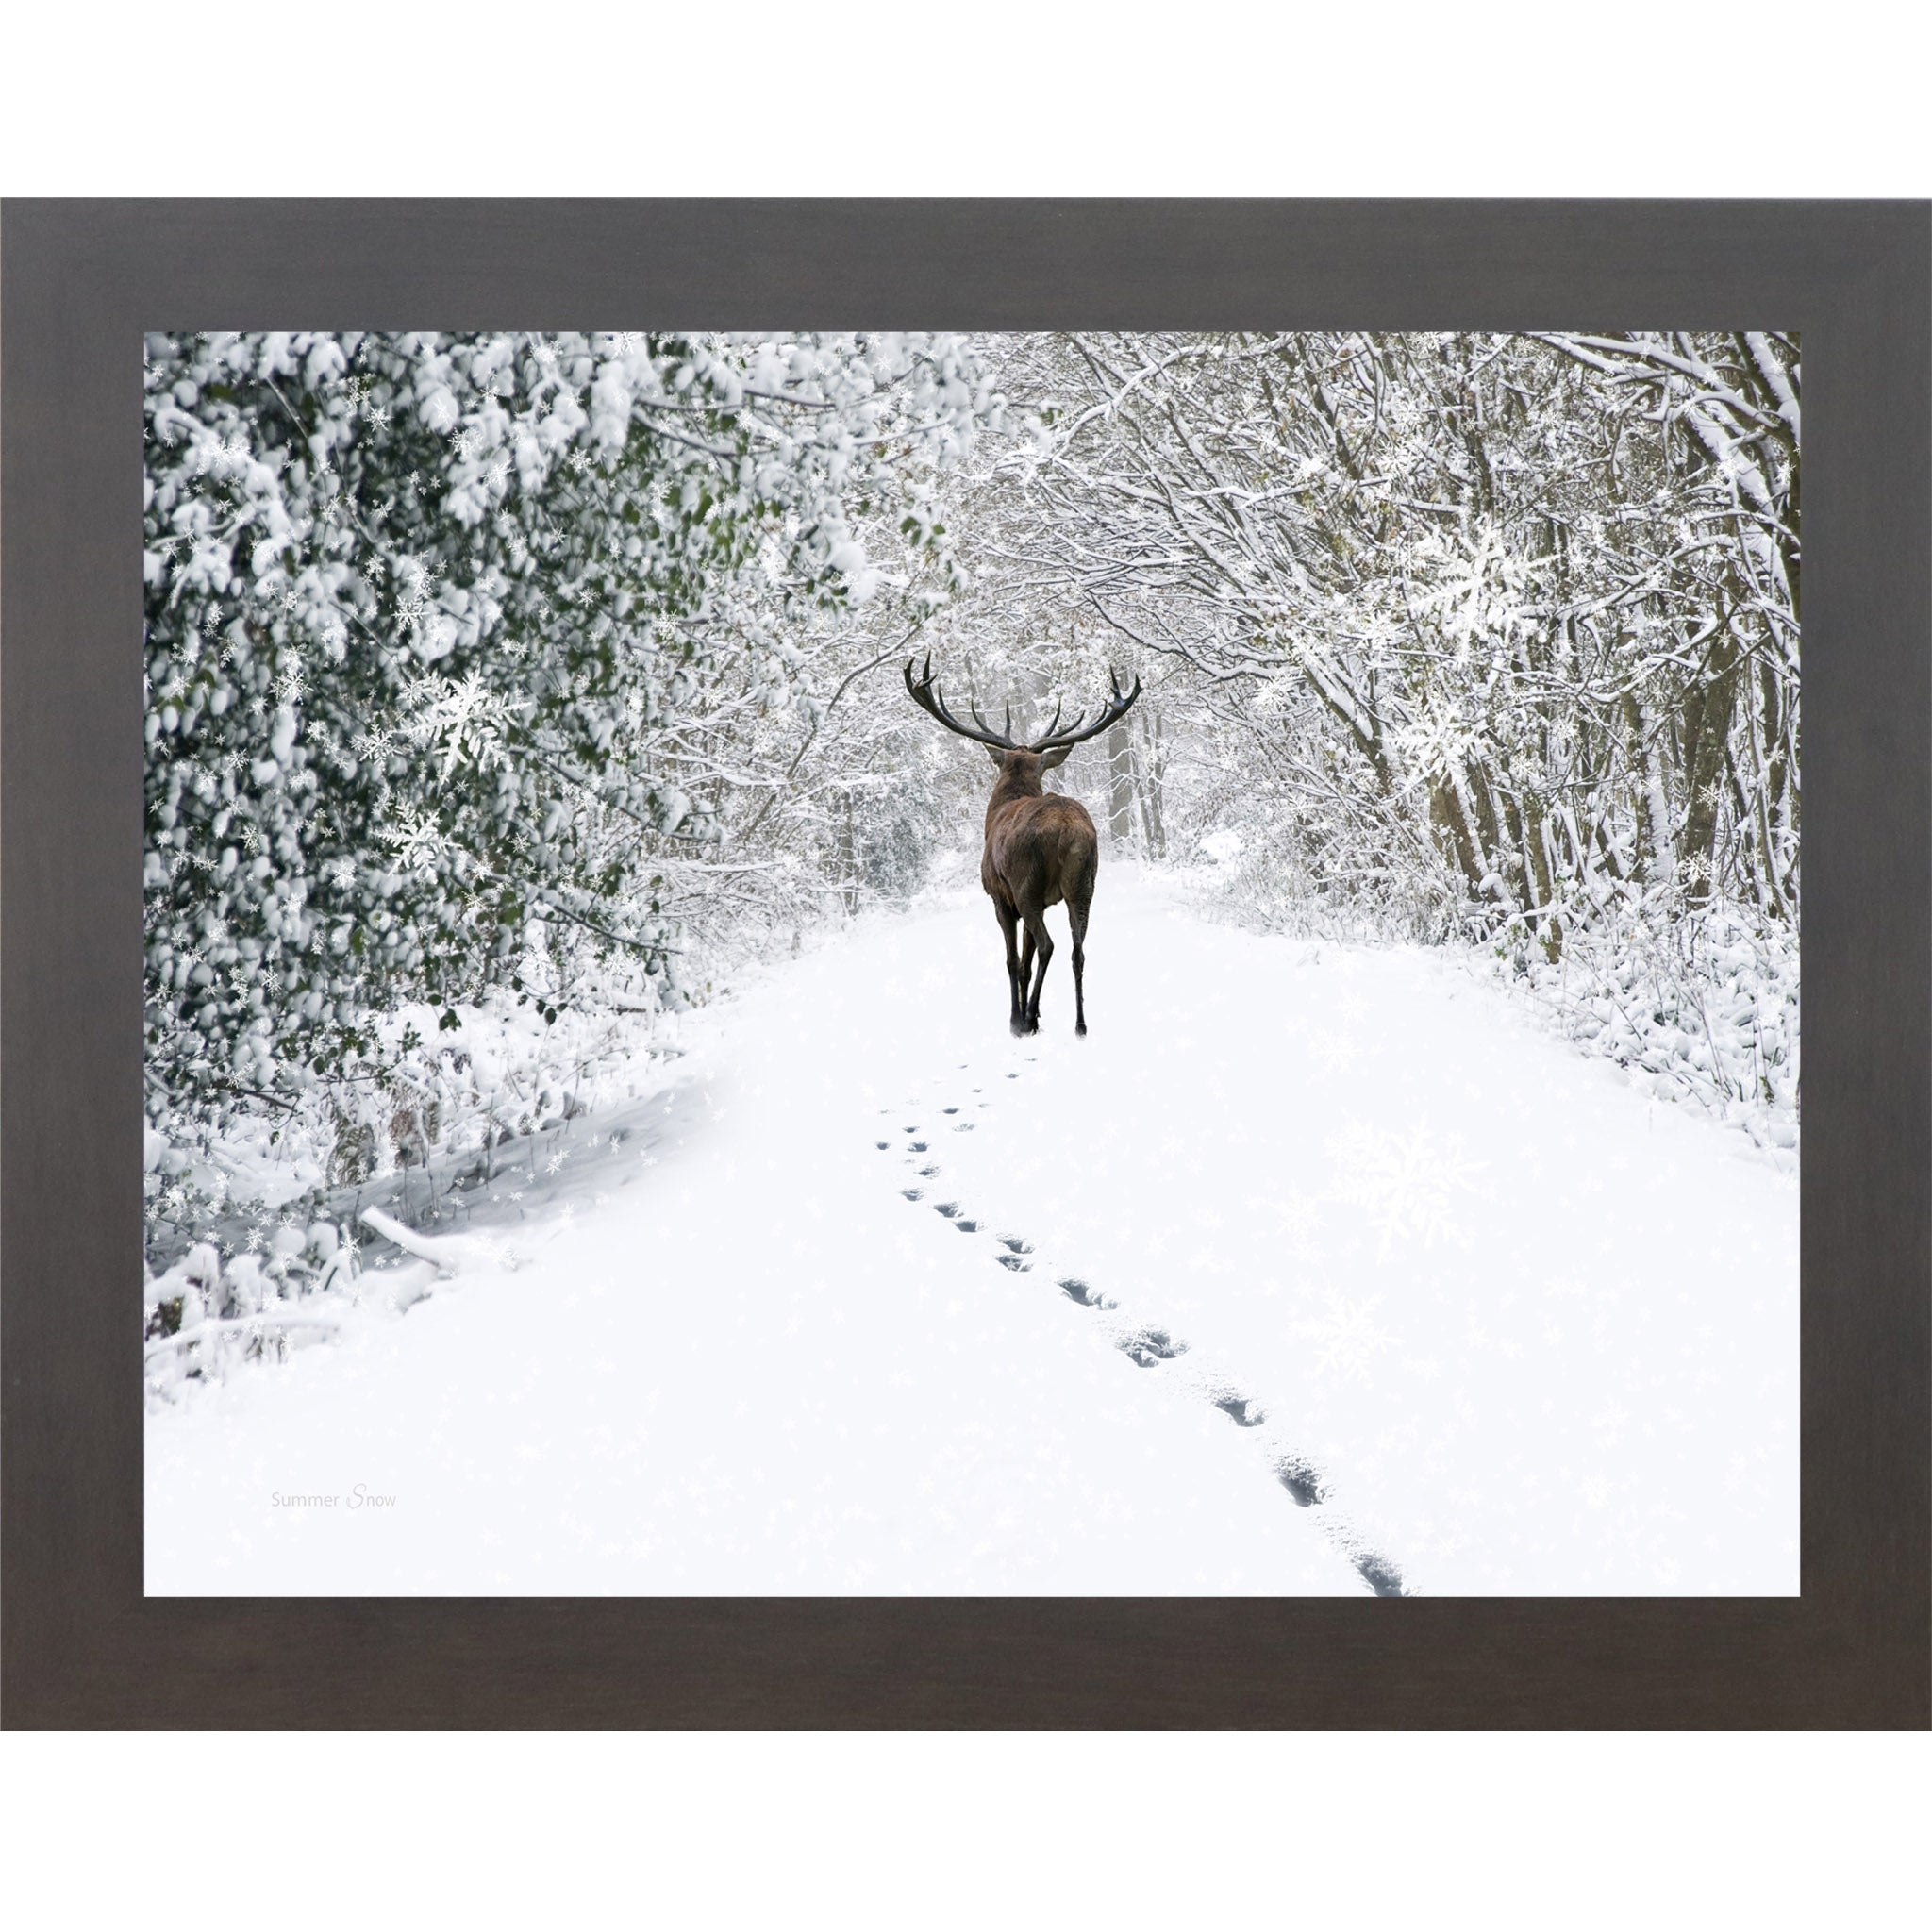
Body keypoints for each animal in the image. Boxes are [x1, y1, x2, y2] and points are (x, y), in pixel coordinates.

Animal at [903, 655, 1143, 1037]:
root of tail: (1067, 832)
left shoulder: (1000, 897)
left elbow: (1013, 960)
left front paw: (1016, 1018)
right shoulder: (1045, 900)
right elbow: (1026, 963)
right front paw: (1037, 1014)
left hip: (1026, 883)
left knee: (1048, 945)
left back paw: (1027, 1018)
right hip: (1084, 884)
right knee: (1078, 949)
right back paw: (1079, 1024)